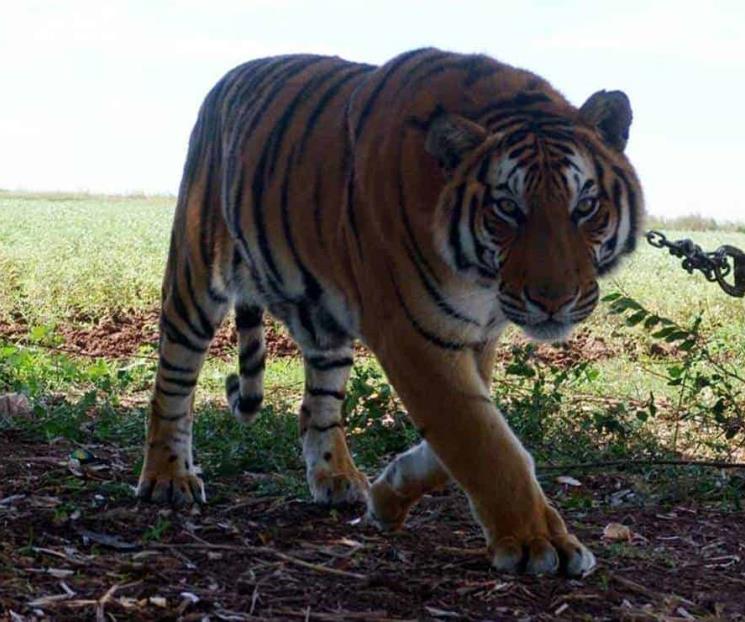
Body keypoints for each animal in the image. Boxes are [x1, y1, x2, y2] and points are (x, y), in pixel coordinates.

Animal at [136, 48, 643, 577]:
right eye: (507, 208)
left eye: (585, 206)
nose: (553, 299)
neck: (479, 281)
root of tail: (233, 75)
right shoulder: (413, 335)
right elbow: (484, 442)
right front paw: (539, 542)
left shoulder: (474, 336)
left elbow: (467, 435)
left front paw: (388, 497)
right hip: (194, 277)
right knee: (171, 384)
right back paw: (169, 478)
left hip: (324, 321)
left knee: (317, 406)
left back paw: (337, 478)